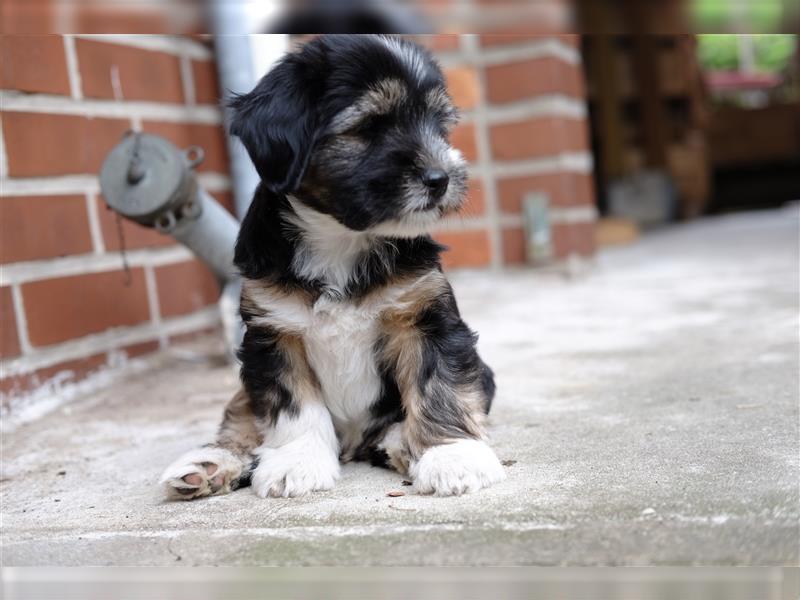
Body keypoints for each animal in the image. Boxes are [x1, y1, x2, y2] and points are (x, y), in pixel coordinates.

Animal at [159, 35, 504, 500]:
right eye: (369, 127)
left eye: (439, 126)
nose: (440, 178)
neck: (341, 239)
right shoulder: (274, 333)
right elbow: (293, 406)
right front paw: (296, 463)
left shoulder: (425, 316)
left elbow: (439, 384)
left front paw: (452, 456)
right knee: (240, 419)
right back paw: (208, 465)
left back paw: (401, 442)